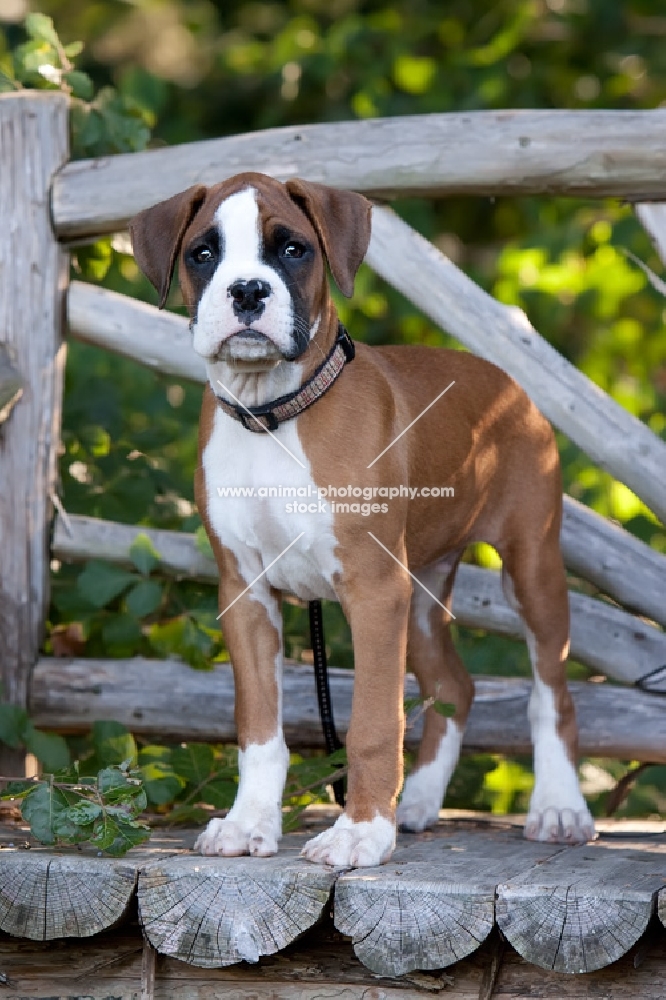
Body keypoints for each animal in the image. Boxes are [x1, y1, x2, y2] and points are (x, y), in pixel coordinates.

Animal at [128, 176, 592, 872]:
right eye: (203, 254)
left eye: (292, 249)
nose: (247, 291)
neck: (273, 414)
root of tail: (507, 383)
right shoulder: (246, 594)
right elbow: (258, 727)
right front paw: (249, 821)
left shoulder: (374, 592)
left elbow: (373, 724)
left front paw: (361, 833)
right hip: (421, 592)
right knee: (455, 686)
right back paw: (420, 801)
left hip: (529, 567)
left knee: (550, 691)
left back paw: (558, 807)